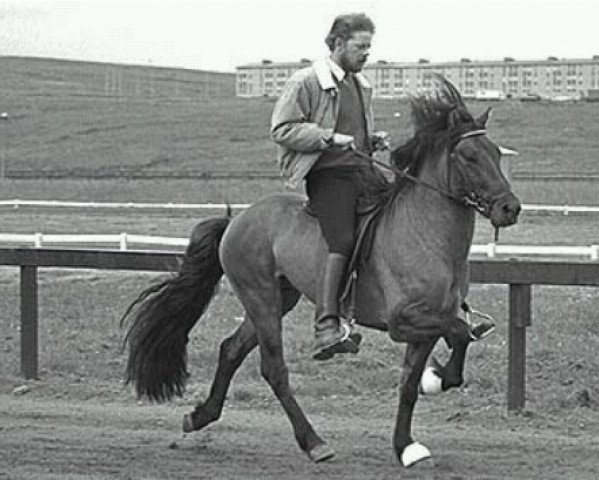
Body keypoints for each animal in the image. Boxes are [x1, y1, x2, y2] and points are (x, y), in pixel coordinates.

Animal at [120, 77, 520, 470]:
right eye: (469, 156)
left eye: (497, 154)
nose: (510, 208)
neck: (427, 235)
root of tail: (238, 219)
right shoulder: (404, 321)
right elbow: (461, 334)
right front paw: (435, 380)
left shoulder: (428, 325)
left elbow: (413, 381)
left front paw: (407, 443)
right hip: (262, 299)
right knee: (274, 369)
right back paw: (314, 442)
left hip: (278, 298)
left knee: (231, 349)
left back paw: (200, 416)